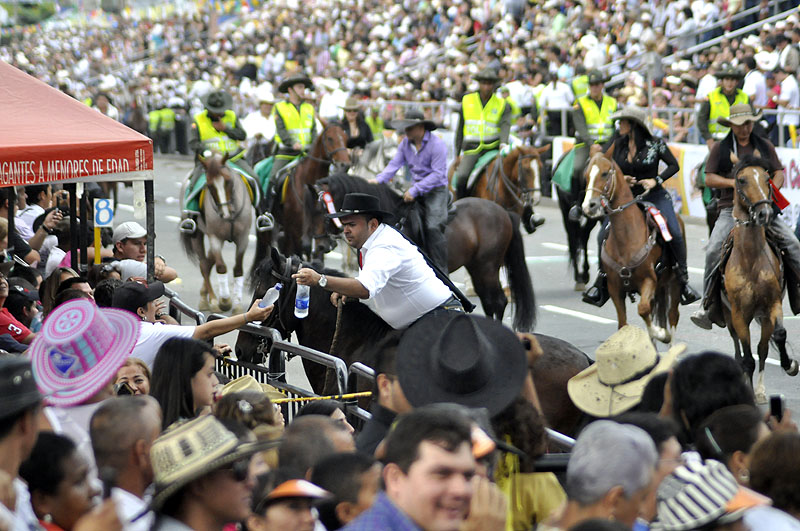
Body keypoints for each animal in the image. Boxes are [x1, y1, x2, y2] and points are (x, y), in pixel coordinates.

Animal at [180, 152, 252, 312]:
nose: (225, 213)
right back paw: (211, 300)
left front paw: (237, 305)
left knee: (208, 263)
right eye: (209, 185)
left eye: (228, 181)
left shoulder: (243, 238)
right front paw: (225, 301)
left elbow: (238, 269)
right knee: (204, 266)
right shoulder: (215, 237)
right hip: (197, 235)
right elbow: (221, 267)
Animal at [581, 151, 682, 344]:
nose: (588, 206)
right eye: (586, 175)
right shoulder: (614, 288)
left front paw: (660, 333)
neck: (627, 238)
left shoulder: (649, 280)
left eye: (604, 173)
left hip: (673, 283)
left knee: (673, 316)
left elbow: (643, 309)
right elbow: (623, 324)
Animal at [722, 156, 798, 403]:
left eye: (766, 178)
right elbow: (747, 358)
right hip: (728, 317)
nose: (764, 213)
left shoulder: (771, 305)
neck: (751, 258)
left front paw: (788, 365)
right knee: (739, 352)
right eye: (742, 180)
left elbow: (776, 338)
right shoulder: (738, 313)